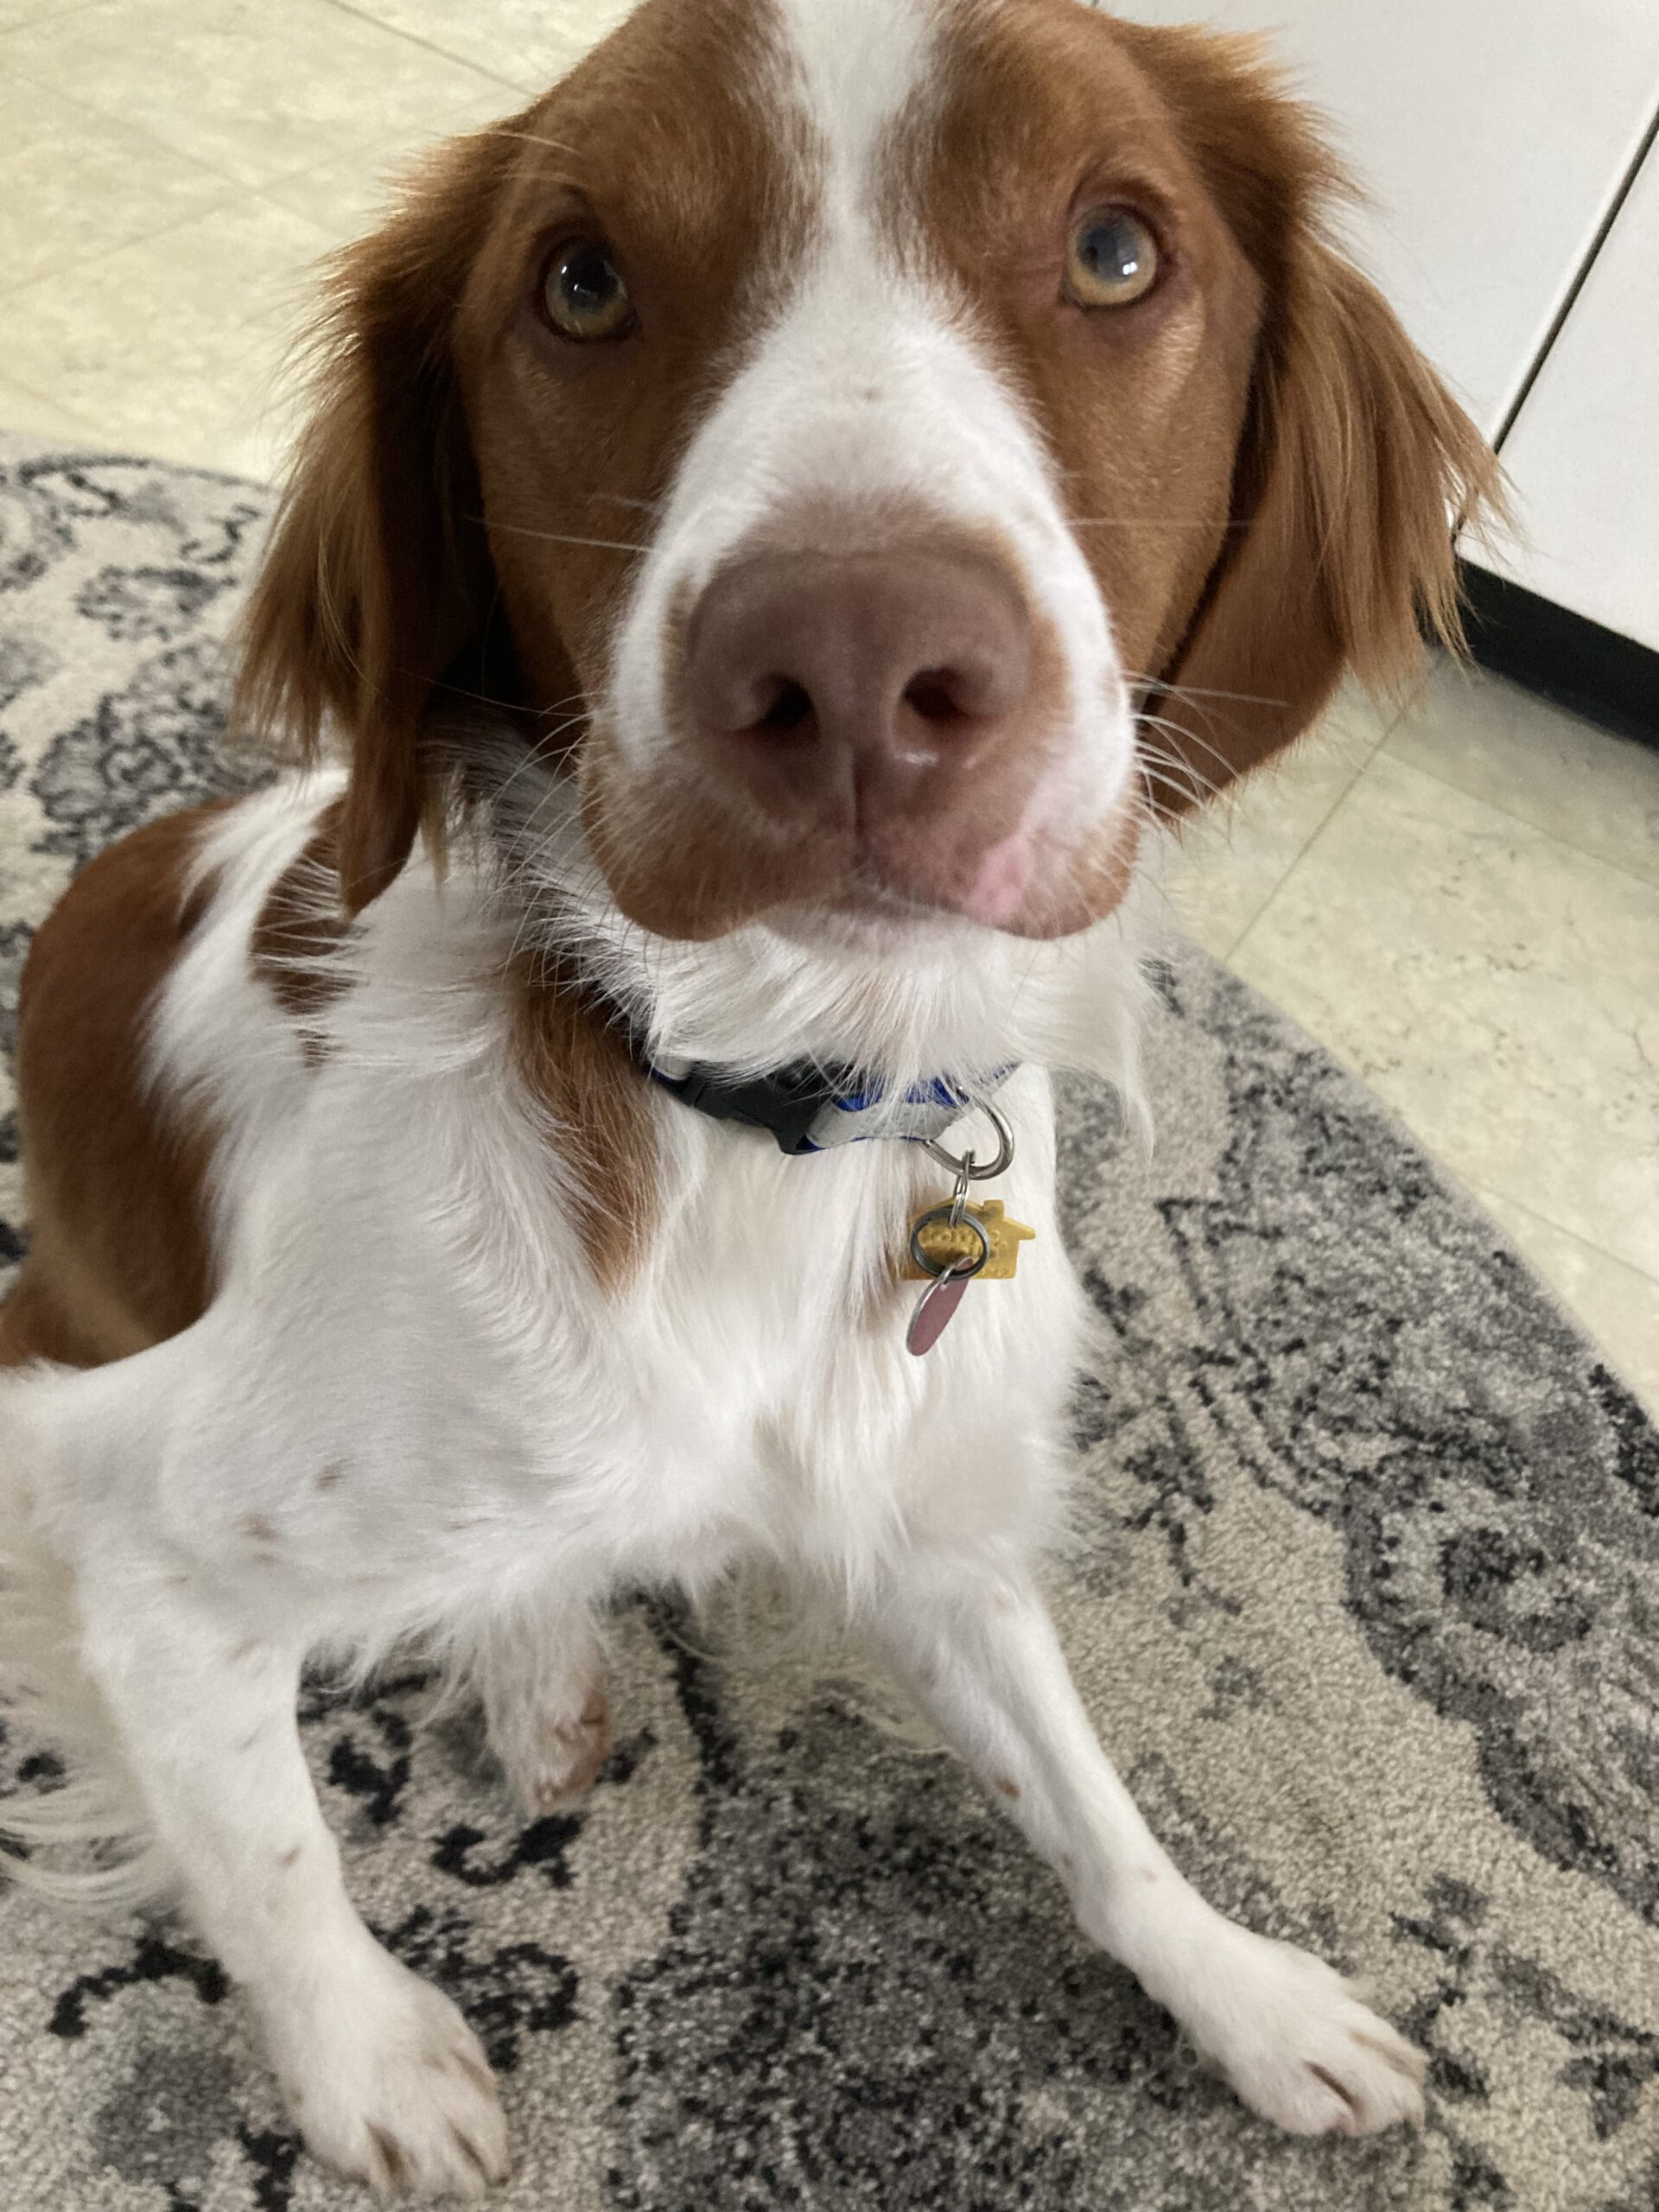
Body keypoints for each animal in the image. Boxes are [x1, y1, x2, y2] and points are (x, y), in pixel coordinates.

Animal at [0, 0, 1498, 2194]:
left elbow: (1096, 1807)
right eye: (580, 280)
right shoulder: (138, 1534)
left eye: (1117, 250)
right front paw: (374, 2062)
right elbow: (271, 1851)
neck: (771, 1111)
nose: (858, 659)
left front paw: (1248, 1989)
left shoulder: (933, 1506)